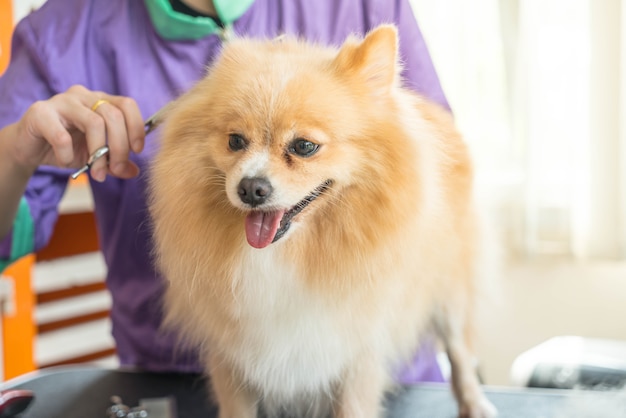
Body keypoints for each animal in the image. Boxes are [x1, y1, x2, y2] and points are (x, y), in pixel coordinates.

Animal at [149, 25, 494, 418]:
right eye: (235, 141)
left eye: (304, 146)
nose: (250, 187)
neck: (284, 254)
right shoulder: (232, 351)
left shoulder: (356, 350)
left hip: (451, 288)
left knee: (460, 350)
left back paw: (474, 402)